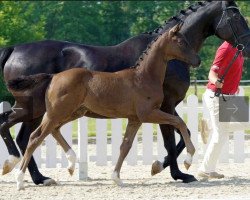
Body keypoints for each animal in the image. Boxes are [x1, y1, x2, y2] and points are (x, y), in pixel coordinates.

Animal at [9, 23, 201, 189]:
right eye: (181, 42)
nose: (197, 60)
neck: (143, 77)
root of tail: (53, 77)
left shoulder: (135, 119)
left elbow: (125, 146)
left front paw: (116, 178)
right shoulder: (149, 113)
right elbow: (179, 122)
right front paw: (188, 160)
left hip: (72, 113)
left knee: (52, 131)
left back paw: (71, 164)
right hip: (57, 113)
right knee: (35, 138)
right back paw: (21, 180)